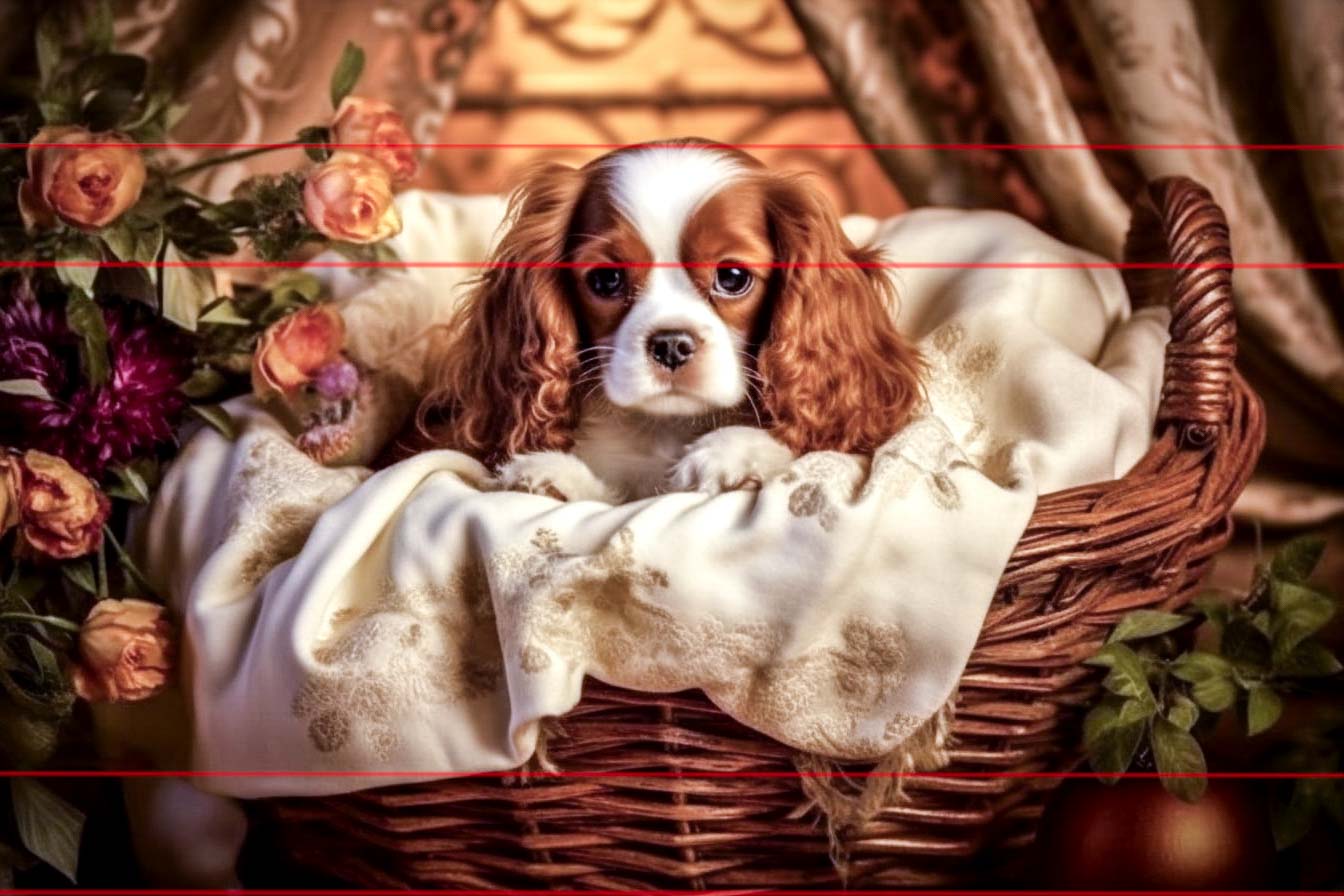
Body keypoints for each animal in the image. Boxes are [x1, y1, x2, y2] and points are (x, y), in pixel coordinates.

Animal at [419, 143, 924, 502]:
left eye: (733, 277)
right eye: (606, 280)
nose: (671, 344)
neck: (665, 429)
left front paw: (736, 453)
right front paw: (549, 473)